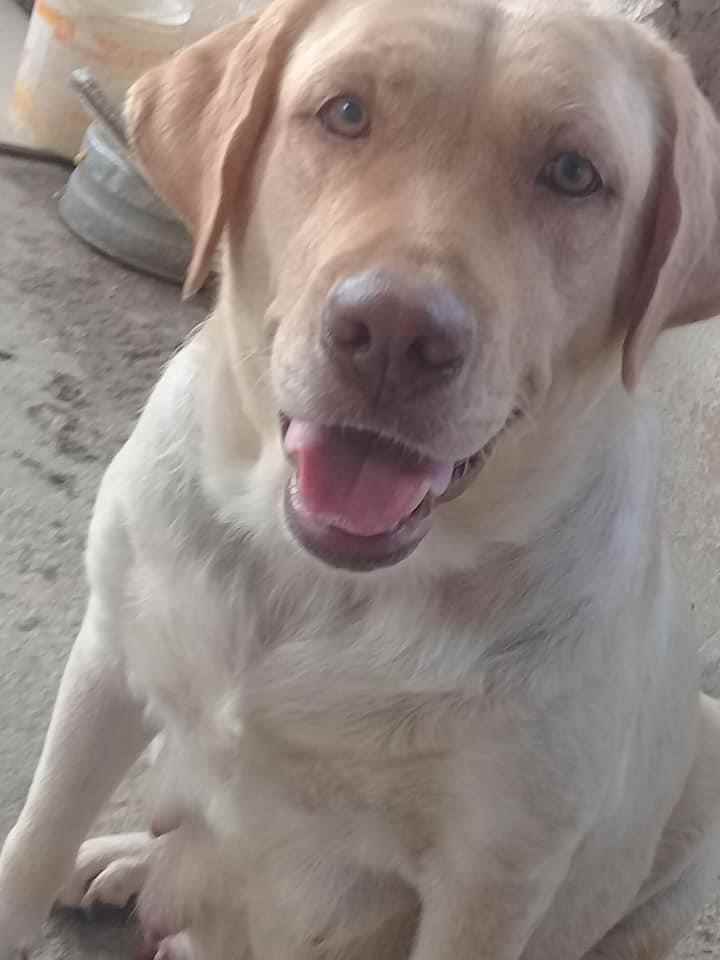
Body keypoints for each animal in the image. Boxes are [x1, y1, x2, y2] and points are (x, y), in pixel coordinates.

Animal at [2, 0, 720, 957]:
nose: (394, 334)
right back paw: (121, 862)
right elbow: (34, 840)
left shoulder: (492, 878)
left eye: (574, 172)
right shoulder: (108, 659)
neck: (311, 582)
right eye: (344, 112)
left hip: (700, 778)